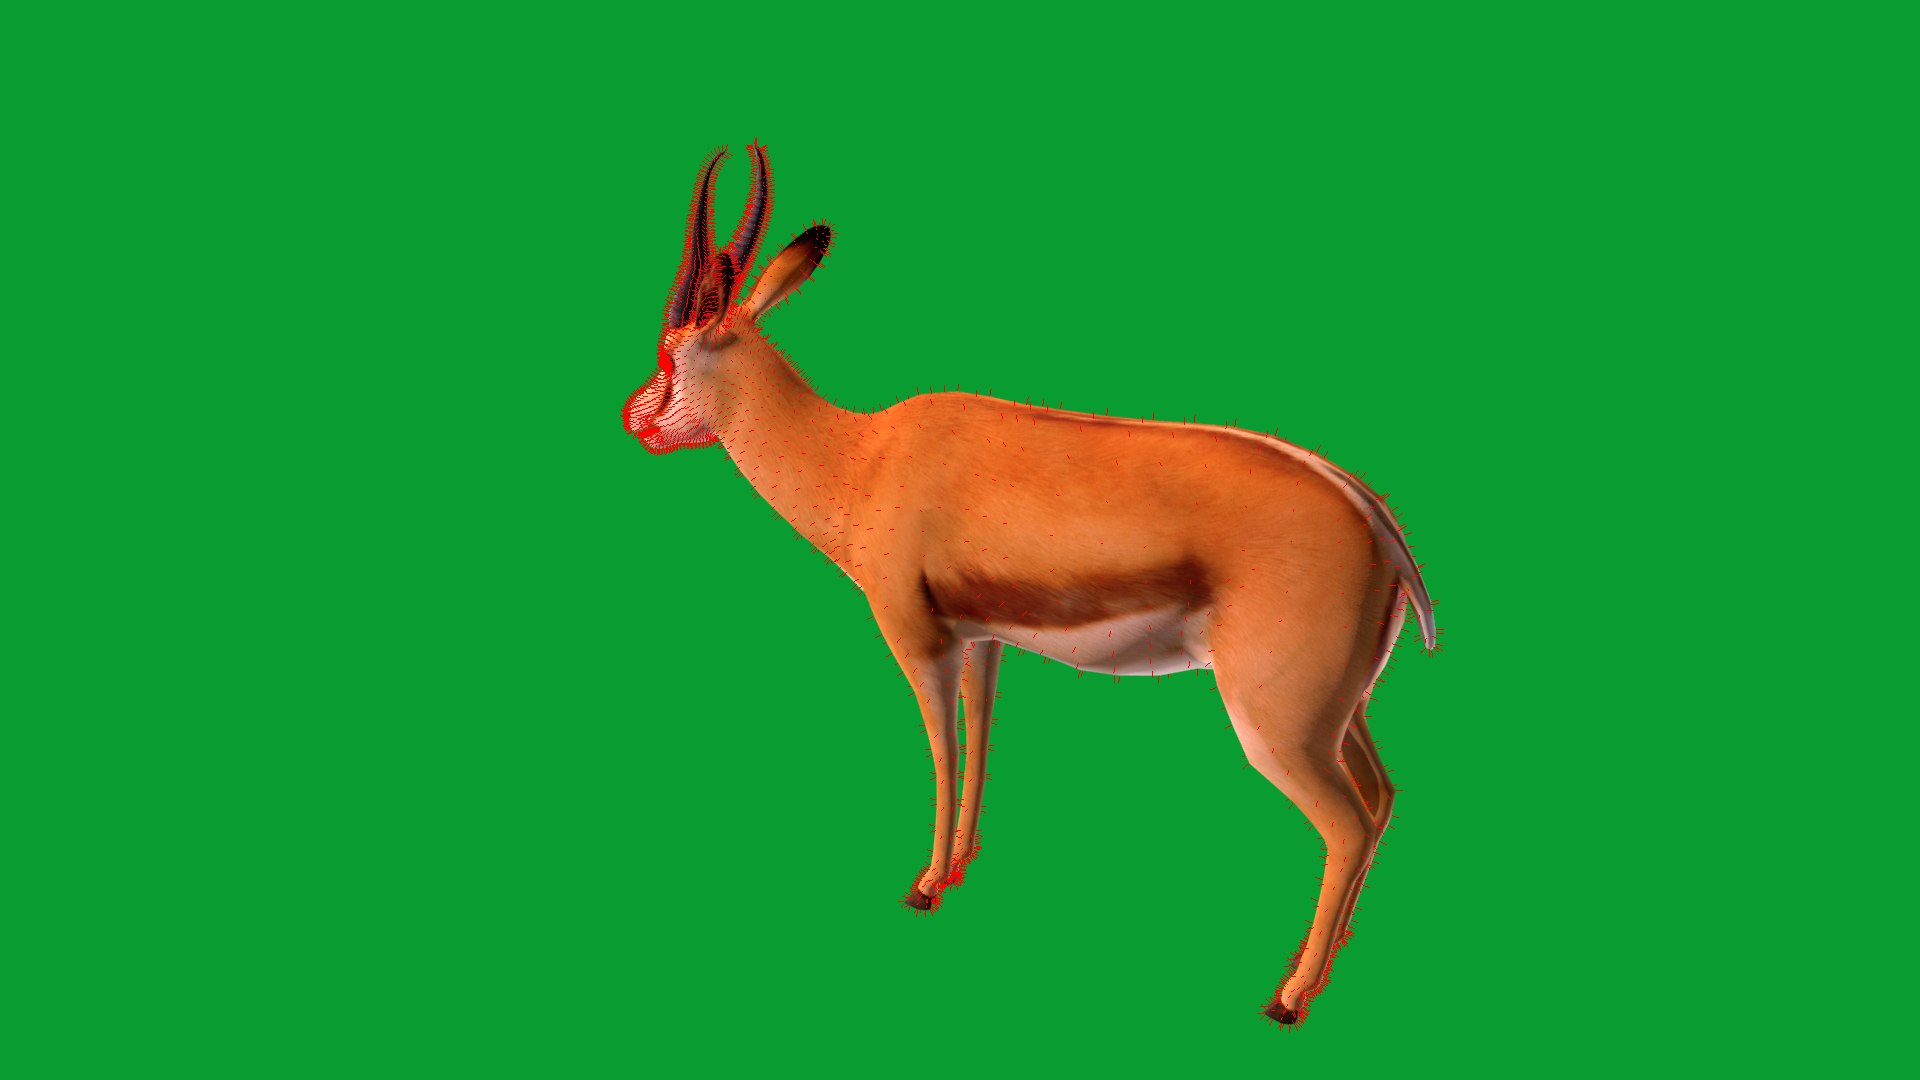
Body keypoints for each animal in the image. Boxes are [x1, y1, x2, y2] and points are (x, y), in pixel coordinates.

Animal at [624, 144, 1439, 1025]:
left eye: (671, 352)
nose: (635, 420)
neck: (862, 460)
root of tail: (1374, 519)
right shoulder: (983, 639)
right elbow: (981, 736)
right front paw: (955, 871)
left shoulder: (917, 638)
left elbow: (942, 749)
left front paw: (922, 888)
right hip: (1341, 712)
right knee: (1384, 799)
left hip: (1276, 724)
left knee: (1347, 825)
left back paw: (1288, 998)